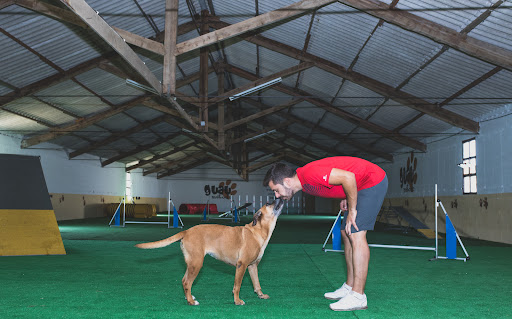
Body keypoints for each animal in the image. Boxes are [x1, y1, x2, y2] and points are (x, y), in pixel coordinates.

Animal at [135, 199, 284, 306]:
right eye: (268, 203)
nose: (280, 198)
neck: (257, 231)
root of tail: (187, 231)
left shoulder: (253, 266)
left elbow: (257, 284)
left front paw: (261, 295)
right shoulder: (241, 265)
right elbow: (237, 286)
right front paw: (237, 301)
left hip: (192, 263)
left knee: (184, 281)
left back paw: (189, 297)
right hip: (197, 263)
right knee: (187, 282)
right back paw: (191, 302)